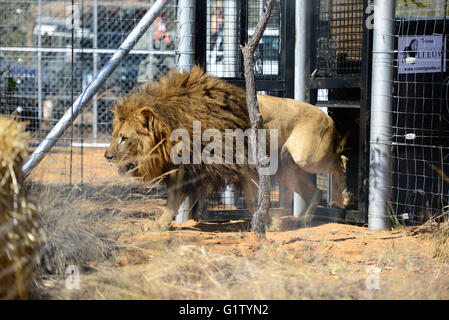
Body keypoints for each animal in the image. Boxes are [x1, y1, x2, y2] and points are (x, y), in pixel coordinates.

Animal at [105, 65, 350, 225]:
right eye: (115, 134)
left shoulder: (238, 162)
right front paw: (160, 225)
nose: (107, 156)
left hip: (307, 157)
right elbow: (173, 201)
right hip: (287, 166)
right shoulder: (189, 169)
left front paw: (267, 223)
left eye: (124, 138)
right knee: (315, 191)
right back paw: (304, 219)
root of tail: (327, 116)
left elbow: (253, 199)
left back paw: (344, 197)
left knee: (341, 161)